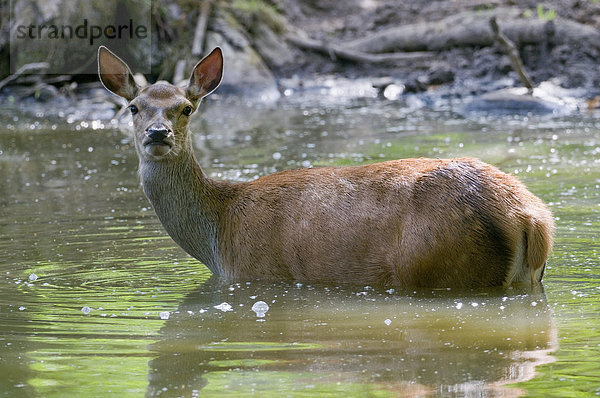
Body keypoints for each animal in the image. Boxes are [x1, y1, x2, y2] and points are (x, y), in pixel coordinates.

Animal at [97, 46, 552, 288]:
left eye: (186, 108)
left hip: (445, 268)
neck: (217, 234)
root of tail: (531, 217)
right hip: (527, 279)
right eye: (133, 107)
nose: (158, 133)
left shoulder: (258, 275)